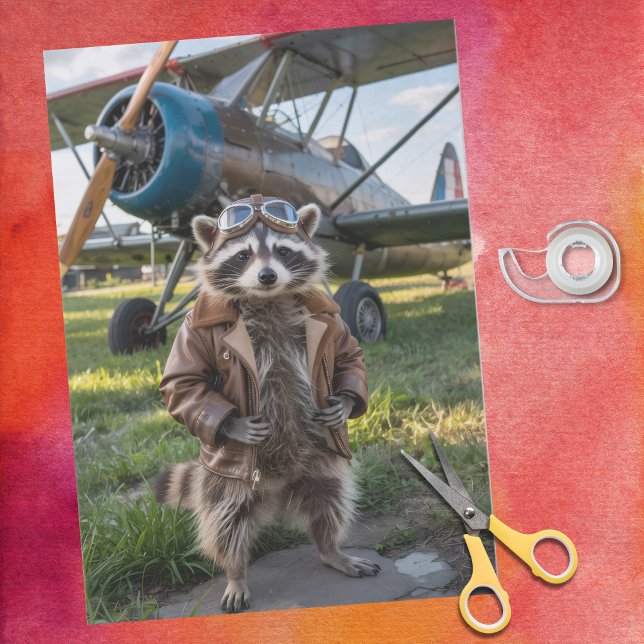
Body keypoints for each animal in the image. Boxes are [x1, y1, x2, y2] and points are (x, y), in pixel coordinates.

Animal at [155, 197, 379, 613]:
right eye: (243, 255)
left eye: (283, 251)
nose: (267, 276)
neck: (268, 299)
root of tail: (278, 494)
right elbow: (182, 383)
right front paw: (232, 424)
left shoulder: (330, 322)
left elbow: (349, 354)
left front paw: (344, 401)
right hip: (227, 484)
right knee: (225, 523)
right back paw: (236, 572)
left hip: (321, 466)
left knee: (331, 501)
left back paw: (330, 549)